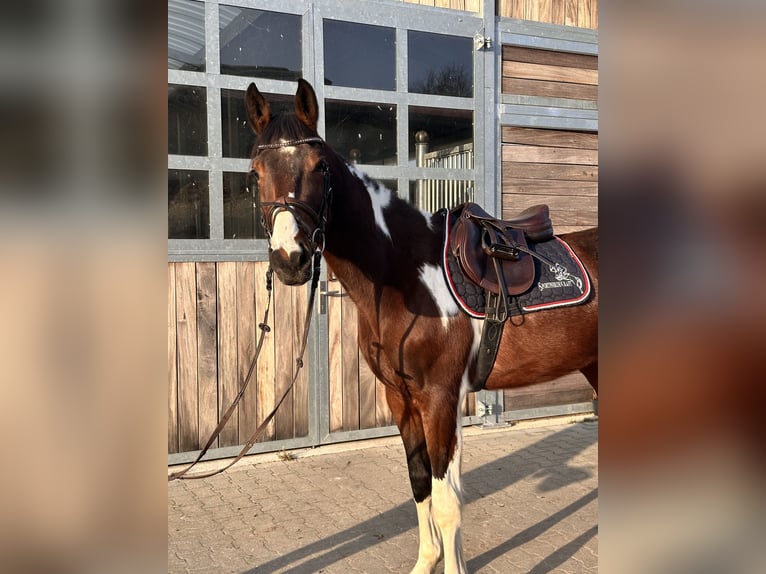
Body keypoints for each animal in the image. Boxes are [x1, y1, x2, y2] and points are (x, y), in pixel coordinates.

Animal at [245, 79, 598, 574]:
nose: (289, 260)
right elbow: (420, 484)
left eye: (319, 167)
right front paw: (428, 561)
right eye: (255, 172)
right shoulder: (402, 398)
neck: (404, 273)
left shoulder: (438, 398)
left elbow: (447, 500)